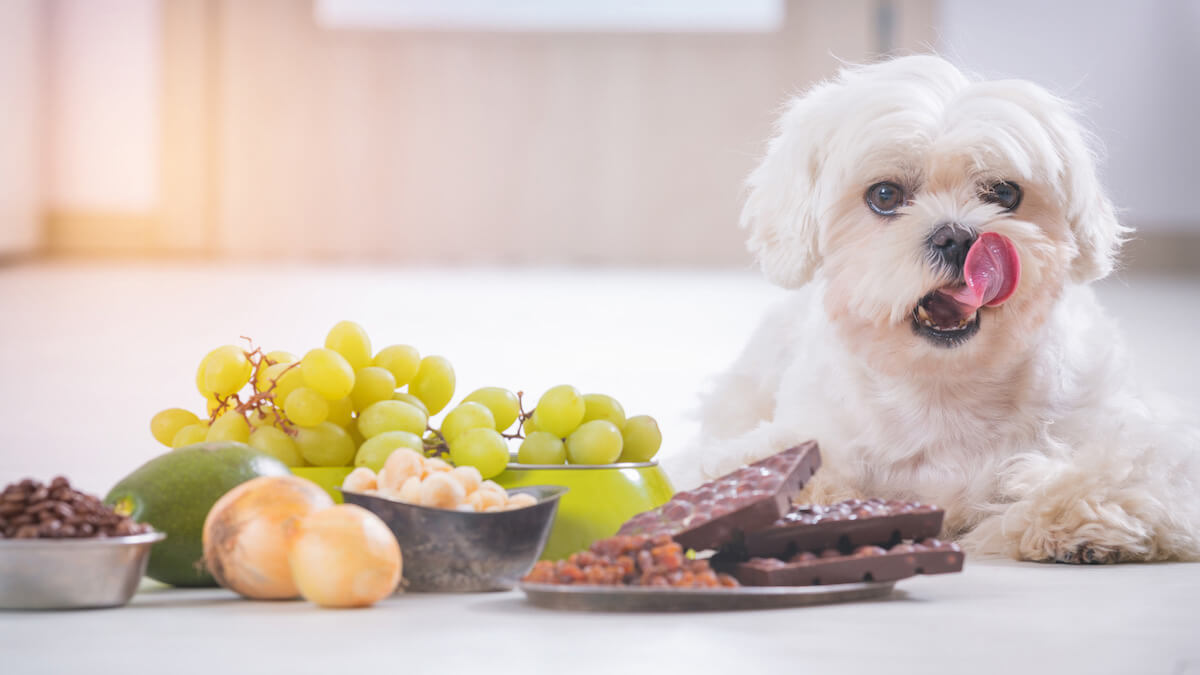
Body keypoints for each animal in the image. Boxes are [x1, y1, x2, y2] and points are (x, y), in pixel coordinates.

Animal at [667, 53, 1200, 562]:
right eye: (885, 195)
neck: (943, 388)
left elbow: (1121, 470)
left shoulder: (1132, 436)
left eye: (1004, 192)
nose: (957, 237)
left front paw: (1075, 517)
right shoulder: (801, 435)